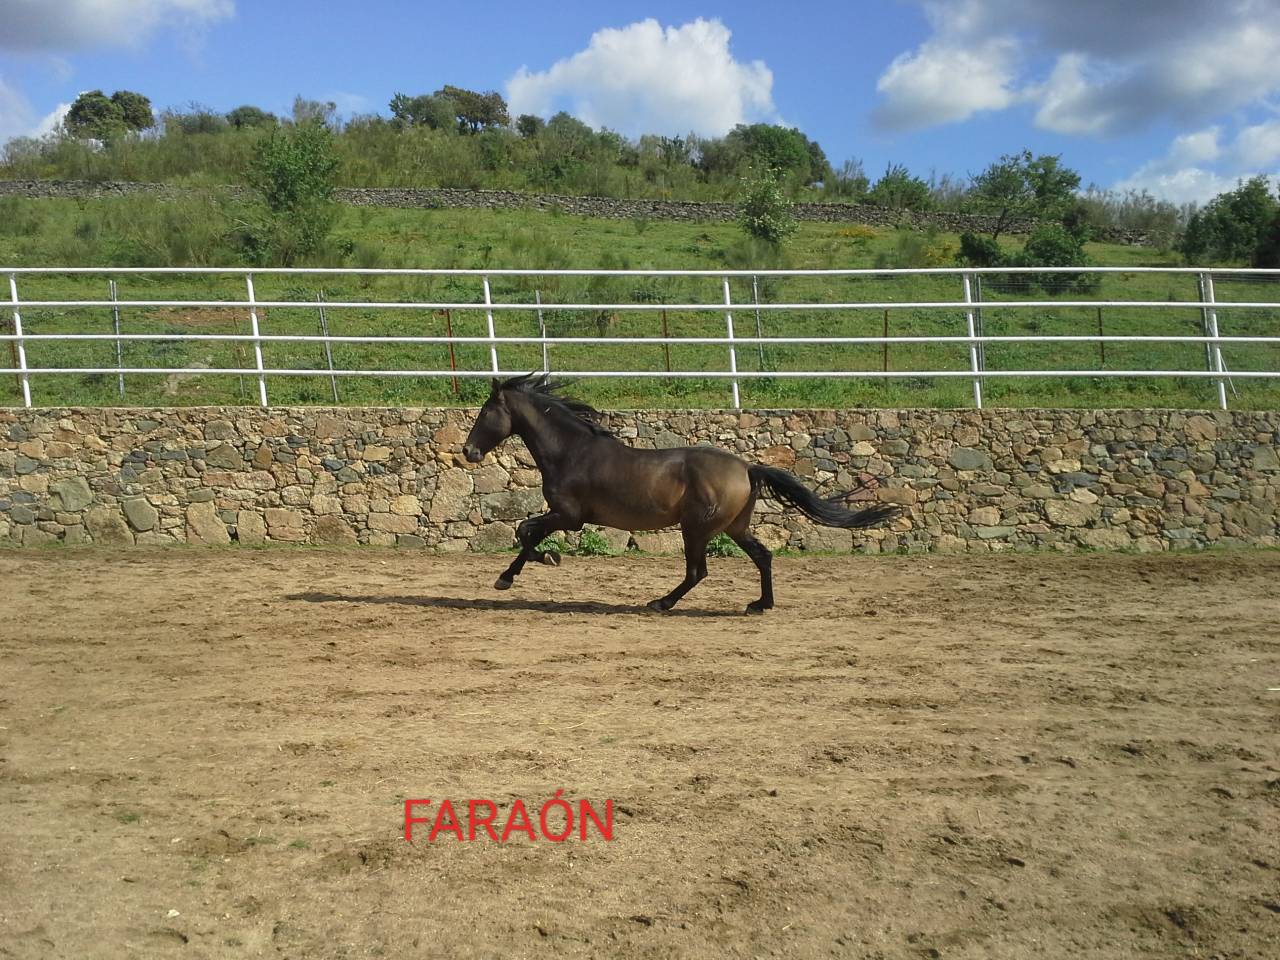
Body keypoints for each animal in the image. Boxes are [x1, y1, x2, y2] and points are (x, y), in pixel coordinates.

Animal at [461, 374, 899, 613]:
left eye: (485, 412)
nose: (468, 451)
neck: (572, 450)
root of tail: (748, 467)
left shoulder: (569, 516)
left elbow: (525, 532)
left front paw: (511, 576)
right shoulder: (567, 518)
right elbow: (525, 532)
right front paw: (542, 561)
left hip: (697, 529)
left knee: (697, 571)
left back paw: (661, 603)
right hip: (734, 527)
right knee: (762, 555)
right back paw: (760, 605)